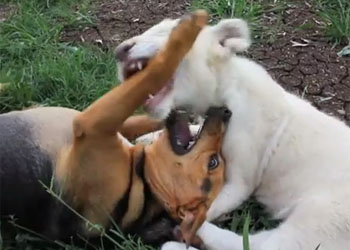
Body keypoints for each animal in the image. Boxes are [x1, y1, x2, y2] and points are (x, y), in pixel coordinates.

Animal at [0, 10, 231, 247]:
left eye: (213, 162)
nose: (226, 113)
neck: (143, 185)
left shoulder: (93, 124)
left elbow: (155, 73)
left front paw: (187, 30)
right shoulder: (117, 125)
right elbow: (145, 113)